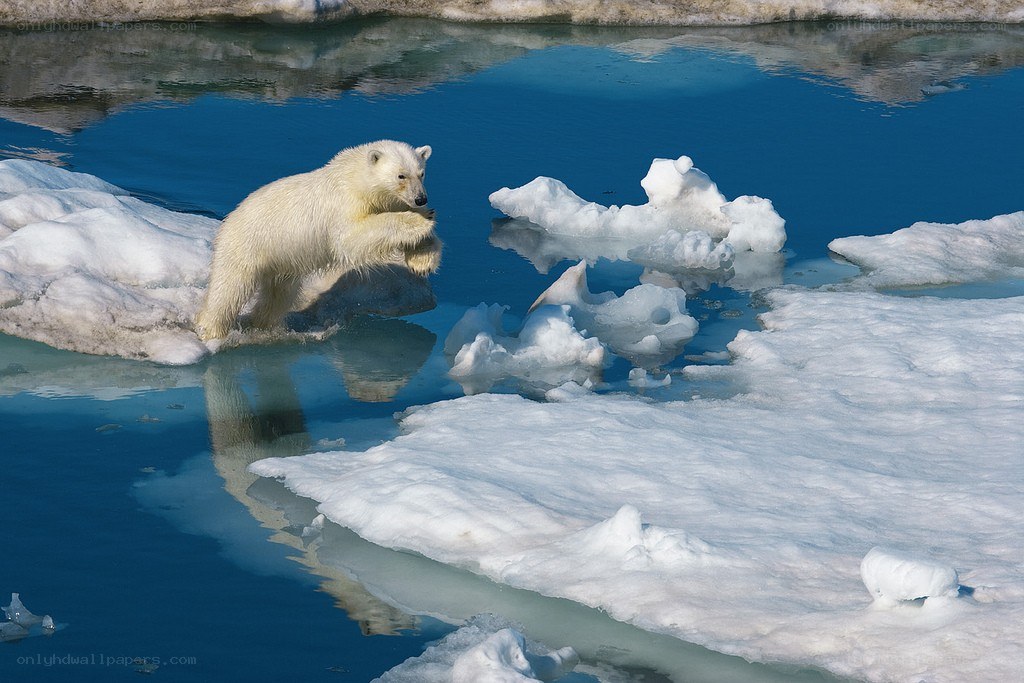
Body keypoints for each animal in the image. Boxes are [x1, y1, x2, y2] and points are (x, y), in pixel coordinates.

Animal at [195, 140, 441, 341]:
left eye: (421, 173)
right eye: (401, 175)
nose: (421, 198)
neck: (354, 177)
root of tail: (229, 220)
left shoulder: (389, 201)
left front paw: (422, 261)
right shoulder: (344, 203)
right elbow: (353, 237)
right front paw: (421, 220)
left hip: (281, 261)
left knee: (278, 294)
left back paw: (263, 325)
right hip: (246, 245)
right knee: (228, 289)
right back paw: (211, 330)